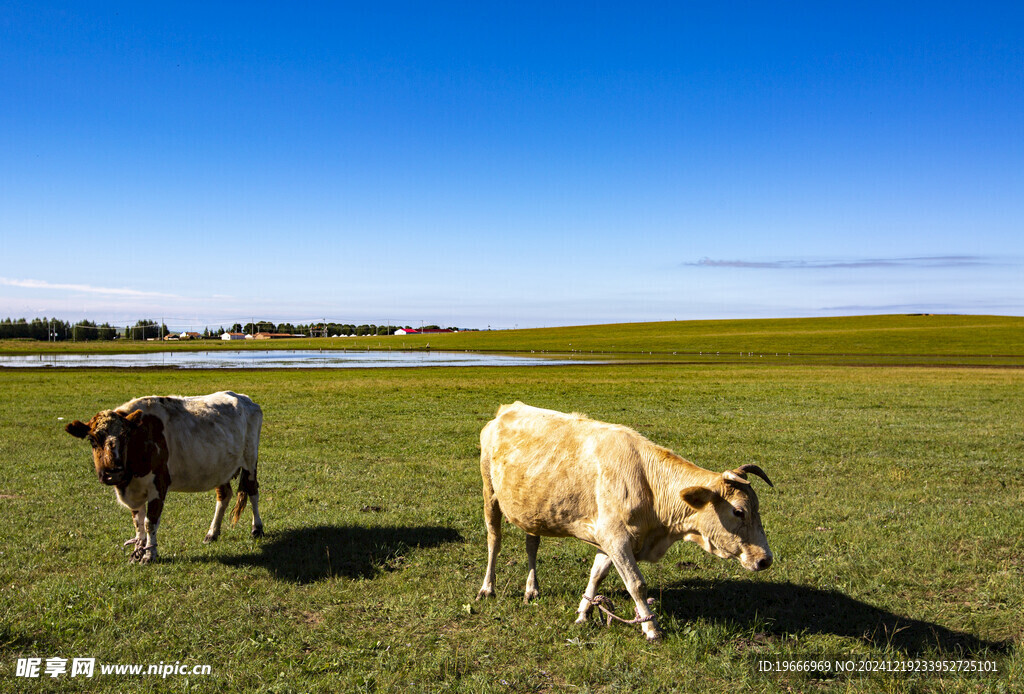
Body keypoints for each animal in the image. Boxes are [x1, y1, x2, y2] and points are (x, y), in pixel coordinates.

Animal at [64, 391, 264, 565]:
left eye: (126, 436)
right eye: (92, 440)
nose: (112, 472)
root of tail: (244, 399)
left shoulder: (158, 485)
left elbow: (150, 523)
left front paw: (149, 555)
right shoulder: (134, 492)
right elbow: (138, 524)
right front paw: (137, 552)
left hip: (250, 460)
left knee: (253, 492)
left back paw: (257, 528)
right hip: (220, 468)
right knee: (223, 496)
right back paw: (212, 533)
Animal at [475, 403, 770, 642]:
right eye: (739, 511)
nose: (765, 559)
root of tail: (506, 409)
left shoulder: (609, 541)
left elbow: (596, 575)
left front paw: (584, 612)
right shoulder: (615, 538)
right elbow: (636, 584)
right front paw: (651, 628)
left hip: (532, 510)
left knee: (531, 543)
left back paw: (532, 589)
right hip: (490, 493)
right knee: (494, 540)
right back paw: (487, 588)